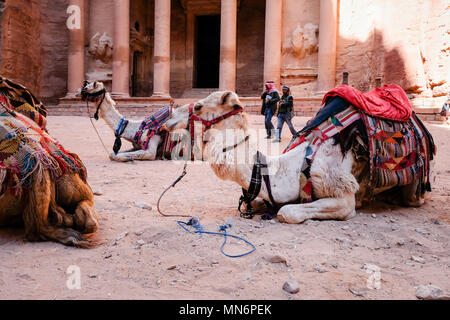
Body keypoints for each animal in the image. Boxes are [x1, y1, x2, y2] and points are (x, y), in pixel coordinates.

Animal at [164, 91, 432, 224]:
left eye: (199, 106)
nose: (168, 119)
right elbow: (260, 203)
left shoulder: (341, 193)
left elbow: (287, 212)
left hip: (415, 182)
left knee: (414, 197)